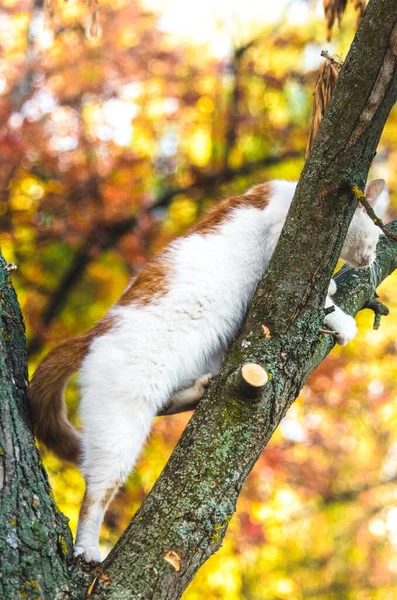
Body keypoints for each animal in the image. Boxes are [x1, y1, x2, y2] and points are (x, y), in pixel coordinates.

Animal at [28, 178, 386, 564]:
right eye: (377, 235)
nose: (370, 259)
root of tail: (93, 333)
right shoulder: (285, 254)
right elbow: (321, 299)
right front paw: (342, 319)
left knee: (165, 405)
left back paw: (199, 390)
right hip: (121, 424)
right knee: (97, 491)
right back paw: (87, 548)